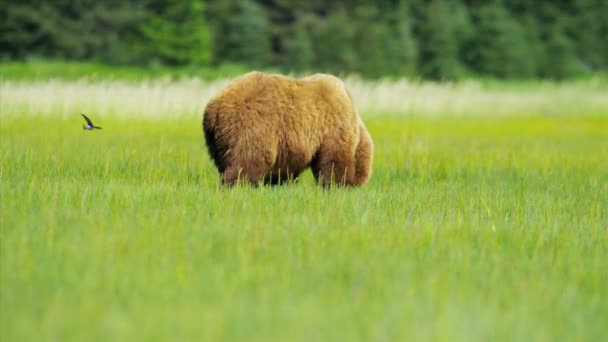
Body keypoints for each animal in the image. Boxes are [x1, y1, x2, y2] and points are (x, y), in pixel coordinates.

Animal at [204, 70, 372, 186]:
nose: (356, 185)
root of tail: (214, 106)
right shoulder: (333, 125)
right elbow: (333, 161)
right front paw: (336, 184)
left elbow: (283, 171)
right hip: (251, 125)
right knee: (246, 162)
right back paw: (236, 186)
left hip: (217, 140)